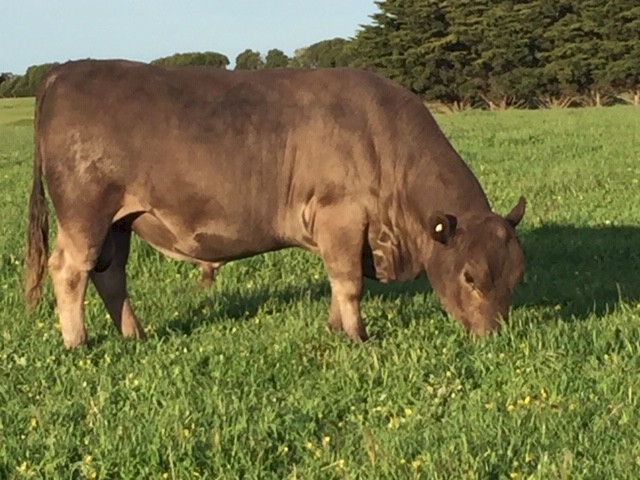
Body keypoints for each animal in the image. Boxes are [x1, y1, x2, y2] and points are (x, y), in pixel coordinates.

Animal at [24, 60, 526, 349]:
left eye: (516, 276)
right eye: (470, 276)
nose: (492, 335)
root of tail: (66, 69)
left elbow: (337, 281)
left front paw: (335, 327)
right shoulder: (341, 217)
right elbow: (348, 282)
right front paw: (357, 336)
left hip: (120, 222)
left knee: (110, 276)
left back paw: (136, 335)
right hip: (86, 213)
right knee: (70, 270)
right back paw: (77, 342)